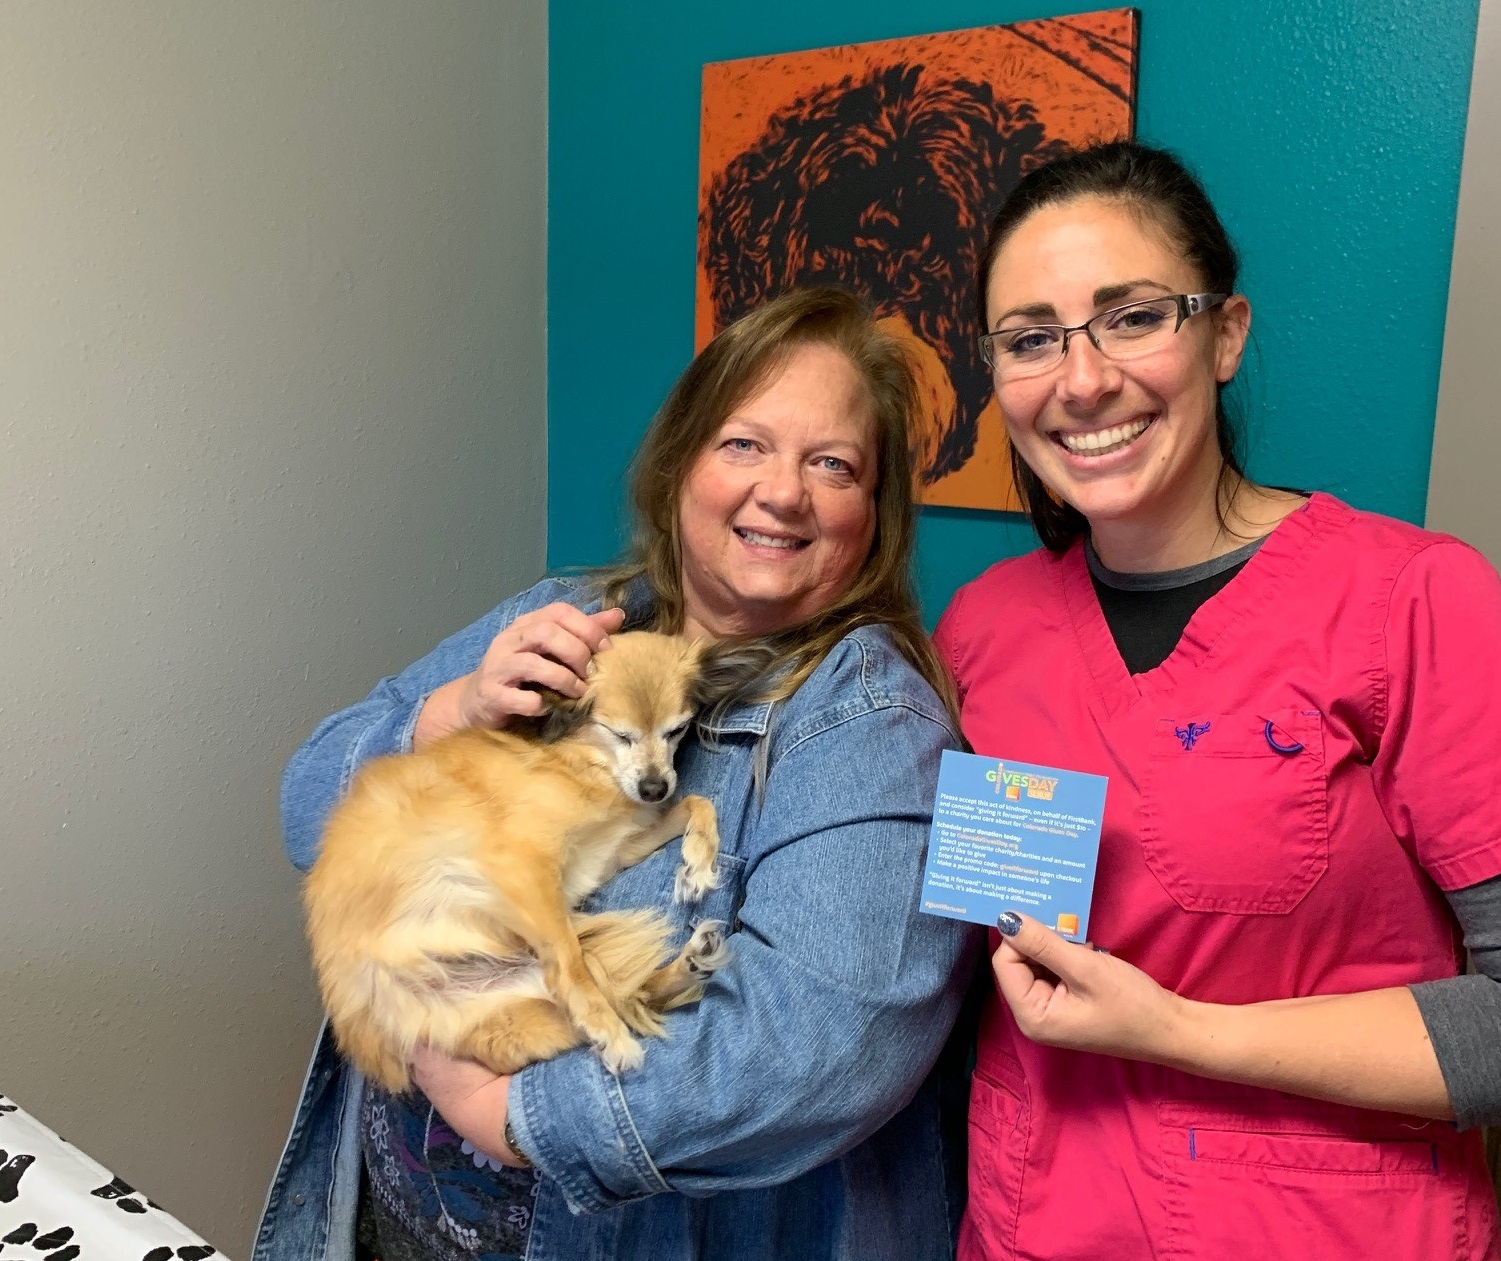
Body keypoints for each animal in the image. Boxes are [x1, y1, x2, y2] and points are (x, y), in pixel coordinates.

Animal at [306, 636, 756, 1086]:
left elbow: (699, 802)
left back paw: (693, 962)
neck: (585, 764)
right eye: (619, 734)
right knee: (591, 982)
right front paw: (607, 1031)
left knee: (635, 994)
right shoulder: (524, 866)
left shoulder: (612, 850)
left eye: (677, 730)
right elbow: (571, 965)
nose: (654, 788)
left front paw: (698, 868)